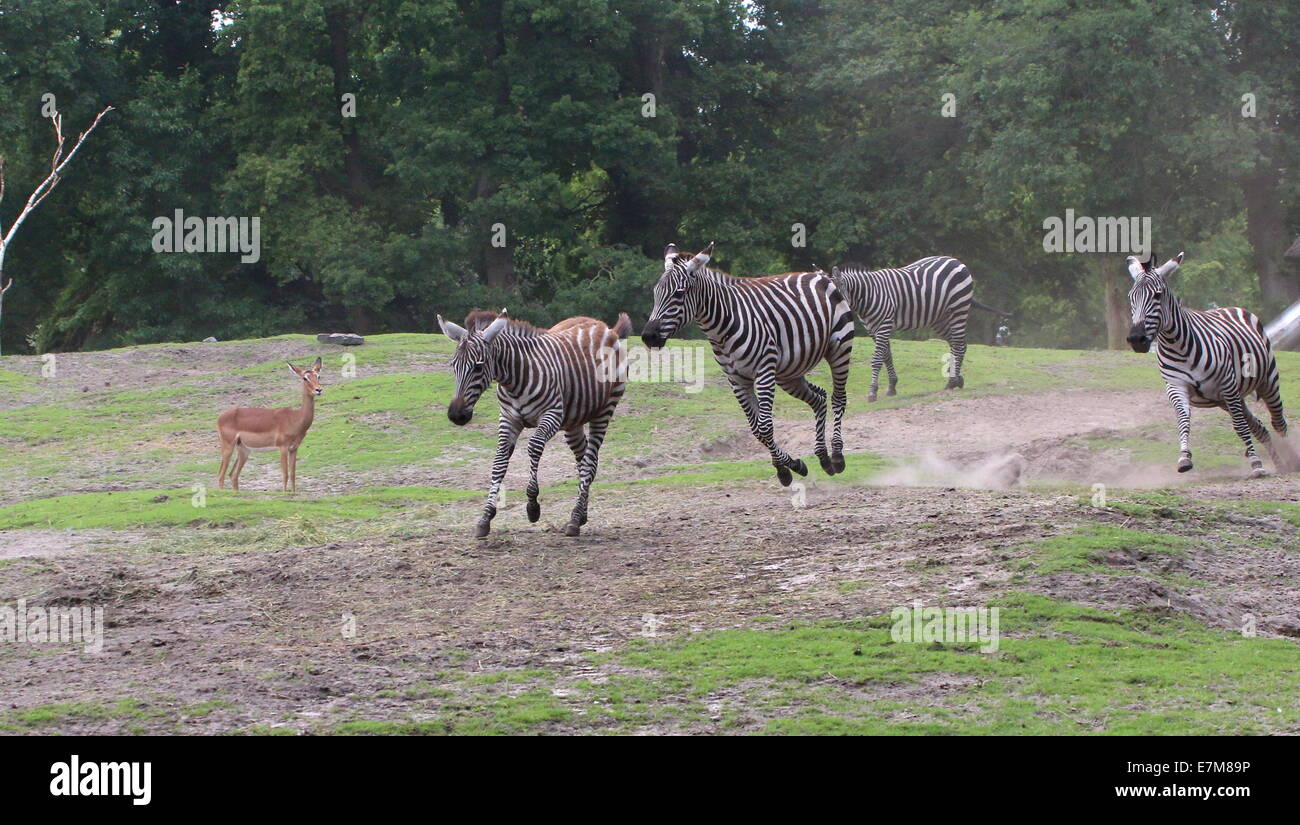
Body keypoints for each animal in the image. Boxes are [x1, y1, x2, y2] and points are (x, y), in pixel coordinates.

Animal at [437, 308, 632, 537]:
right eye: (454, 366)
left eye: (478, 367)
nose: (456, 415)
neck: (514, 380)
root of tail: (606, 327)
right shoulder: (508, 419)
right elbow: (499, 461)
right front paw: (485, 517)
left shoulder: (552, 414)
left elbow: (534, 447)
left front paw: (532, 506)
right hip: (573, 420)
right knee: (584, 460)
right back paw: (581, 514)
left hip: (604, 410)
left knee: (590, 462)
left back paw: (575, 519)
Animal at [641, 242, 855, 486]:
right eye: (655, 293)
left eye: (678, 293)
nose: (648, 337)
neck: (721, 328)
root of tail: (819, 275)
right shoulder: (737, 380)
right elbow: (757, 430)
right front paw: (791, 466)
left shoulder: (763, 371)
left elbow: (765, 426)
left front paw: (786, 469)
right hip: (788, 374)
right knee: (819, 398)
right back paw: (823, 458)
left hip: (839, 347)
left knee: (838, 398)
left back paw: (837, 456)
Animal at [830, 256, 1009, 401]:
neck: (868, 294)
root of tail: (956, 261)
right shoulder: (872, 328)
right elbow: (887, 356)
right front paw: (892, 386)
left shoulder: (884, 325)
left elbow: (877, 359)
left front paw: (872, 392)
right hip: (939, 318)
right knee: (959, 344)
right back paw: (956, 378)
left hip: (959, 308)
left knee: (958, 344)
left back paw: (951, 382)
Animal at [1126, 251, 1297, 477]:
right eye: (1131, 297)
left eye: (1157, 295)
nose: (1136, 339)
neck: (1177, 345)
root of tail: (1231, 307)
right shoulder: (1176, 387)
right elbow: (1183, 422)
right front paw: (1184, 458)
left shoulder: (1227, 384)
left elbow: (1239, 426)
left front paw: (1256, 463)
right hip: (1228, 398)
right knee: (1259, 426)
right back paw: (1280, 464)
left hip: (1266, 382)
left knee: (1278, 422)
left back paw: (1292, 460)